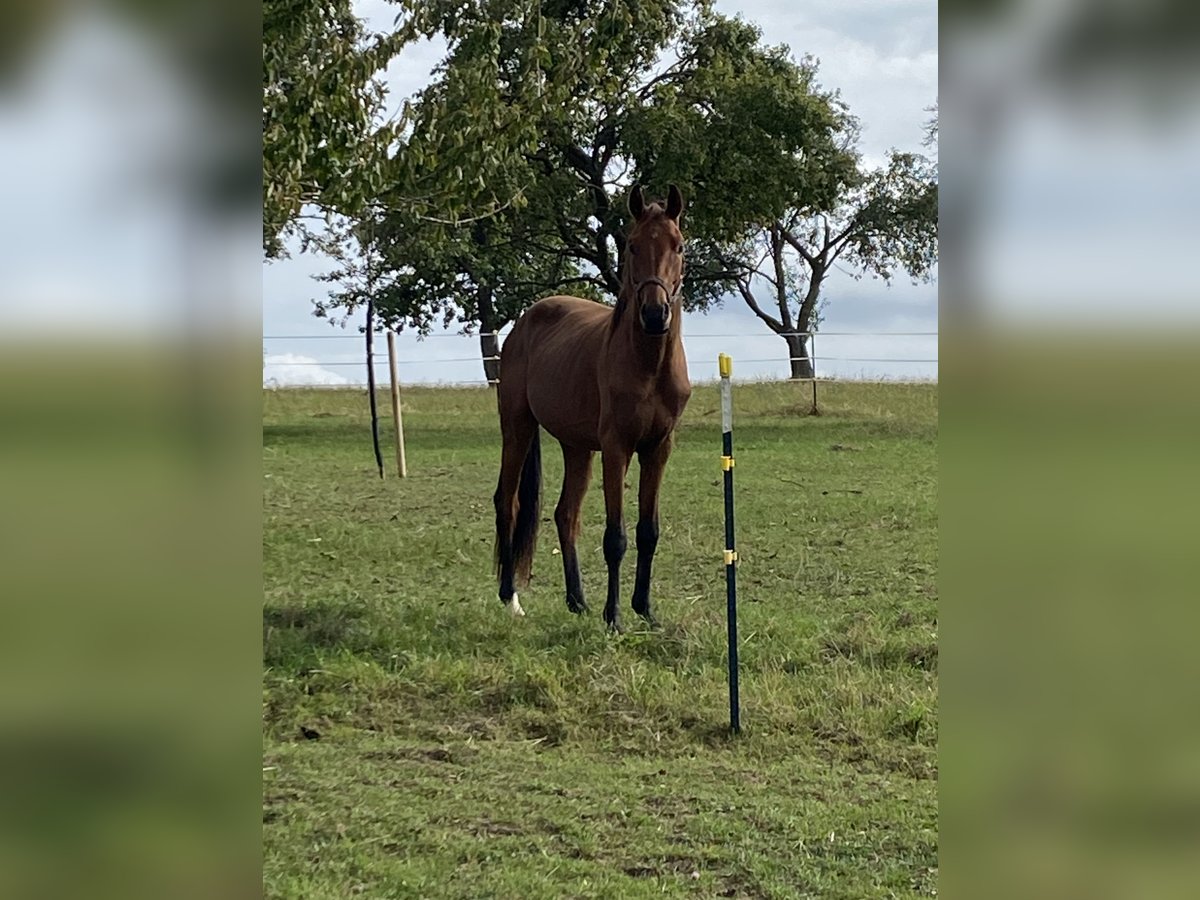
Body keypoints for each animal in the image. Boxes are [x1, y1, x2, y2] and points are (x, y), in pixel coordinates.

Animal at [492, 186, 691, 628]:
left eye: (679, 246)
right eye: (632, 245)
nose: (655, 314)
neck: (647, 365)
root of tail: (524, 323)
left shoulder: (659, 449)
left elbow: (648, 532)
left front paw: (645, 610)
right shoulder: (617, 448)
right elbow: (616, 537)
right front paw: (614, 616)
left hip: (577, 447)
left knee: (566, 514)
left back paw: (577, 600)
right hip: (518, 428)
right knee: (507, 503)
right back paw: (510, 598)